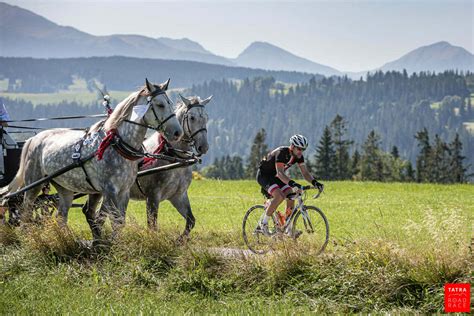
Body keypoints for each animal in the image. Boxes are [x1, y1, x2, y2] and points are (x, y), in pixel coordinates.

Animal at [0, 79, 182, 239]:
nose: (177, 132)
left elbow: (119, 222)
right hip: (33, 184)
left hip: (64, 187)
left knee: (61, 216)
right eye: (160, 104)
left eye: (170, 103)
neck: (116, 144)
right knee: (25, 211)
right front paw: (106, 246)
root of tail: (33, 139)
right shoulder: (110, 191)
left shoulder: (123, 191)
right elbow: (109, 220)